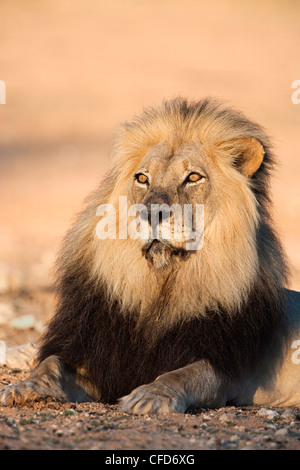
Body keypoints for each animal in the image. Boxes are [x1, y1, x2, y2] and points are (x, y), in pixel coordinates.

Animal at [0, 97, 300, 414]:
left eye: (193, 177)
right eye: (142, 178)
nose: (151, 213)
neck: (159, 283)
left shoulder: (224, 369)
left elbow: (185, 374)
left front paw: (151, 396)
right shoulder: (95, 355)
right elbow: (50, 363)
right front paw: (24, 387)